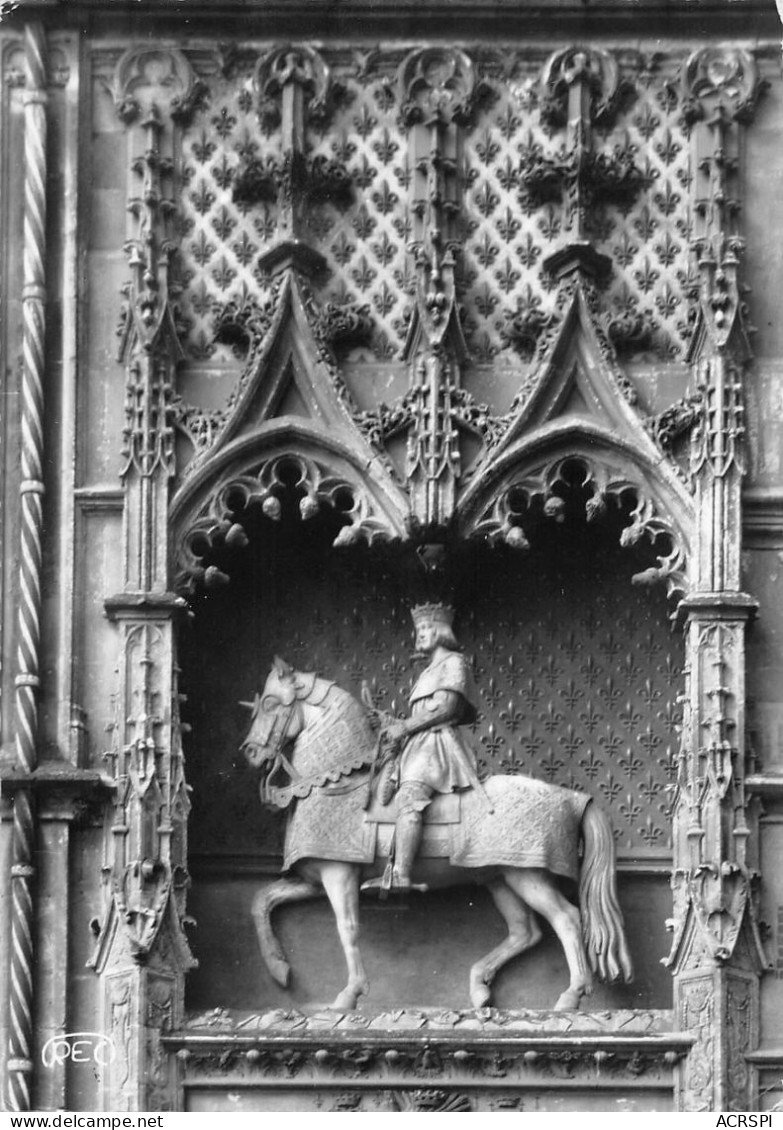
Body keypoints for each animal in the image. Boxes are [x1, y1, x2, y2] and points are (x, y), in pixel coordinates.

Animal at [241, 659, 632, 1012]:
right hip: (500, 878)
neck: (337, 783)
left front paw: (349, 995)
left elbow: (347, 928)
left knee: (567, 920)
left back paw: (570, 996)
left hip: (527, 875)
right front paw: (279, 969)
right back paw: (479, 988)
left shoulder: (340, 874)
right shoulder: (313, 879)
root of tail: (576, 798)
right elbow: (261, 900)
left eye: (271, 703)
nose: (251, 753)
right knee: (525, 931)